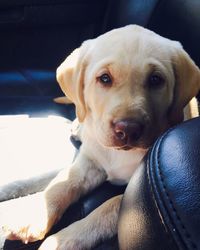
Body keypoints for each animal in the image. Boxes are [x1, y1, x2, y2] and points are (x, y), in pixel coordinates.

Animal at [1, 24, 200, 248]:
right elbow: (63, 183)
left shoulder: (133, 190)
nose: (128, 129)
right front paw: (32, 216)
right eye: (104, 78)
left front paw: (63, 240)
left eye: (156, 80)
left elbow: (108, 207)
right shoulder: (89, 165)